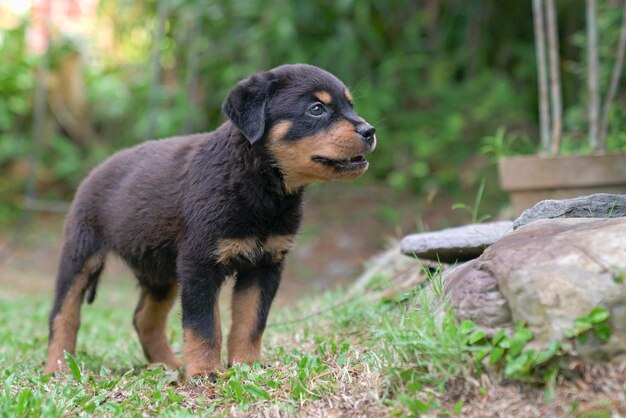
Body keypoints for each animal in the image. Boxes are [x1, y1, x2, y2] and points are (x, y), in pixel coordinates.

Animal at [45, 64, 376, 378]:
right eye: (316, 109)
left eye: (351, 105)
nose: (370, 131)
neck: (260, 186)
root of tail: (94, 171)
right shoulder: (200, 264)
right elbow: (203, 325)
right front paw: (205, 373)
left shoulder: (265, 264)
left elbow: (251, 321)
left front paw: (247, 365)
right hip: (80, 253)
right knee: (63, 314)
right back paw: (58, 368)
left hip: (160, 270)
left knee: (144, 319)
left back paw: (168, 365)